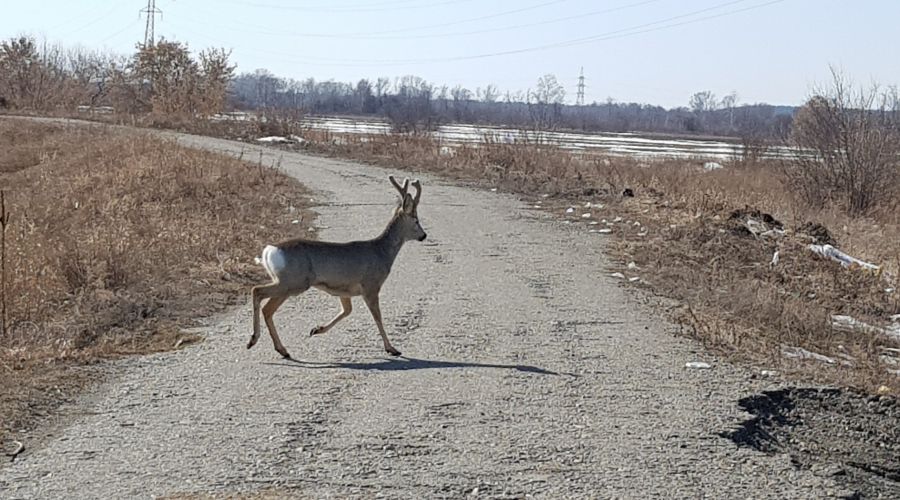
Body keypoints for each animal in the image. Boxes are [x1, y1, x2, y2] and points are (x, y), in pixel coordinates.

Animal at [248, 176, 428, 360]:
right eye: (416, 221)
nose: (424, 235)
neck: (381, 252)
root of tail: (269, 251)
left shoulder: (344, 289)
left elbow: (347, 311)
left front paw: (316, 329)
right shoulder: (371, 285)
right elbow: (377, 316)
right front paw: (391, 348)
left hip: (287, 283)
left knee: (266, 307)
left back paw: (280, 349)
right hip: (294, 282)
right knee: (258, 293)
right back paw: (255, 340)